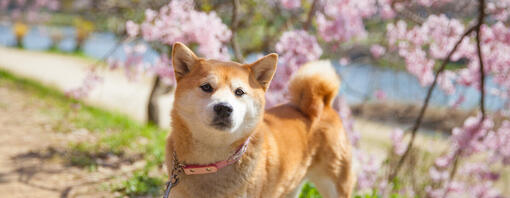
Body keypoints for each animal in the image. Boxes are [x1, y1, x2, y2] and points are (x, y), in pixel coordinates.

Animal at [166, 42, 354, 197]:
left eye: (239, 92)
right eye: (206, 87)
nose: (224, 108)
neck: (211, 163)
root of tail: (324, 106)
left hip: (335, 184)